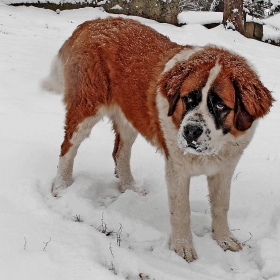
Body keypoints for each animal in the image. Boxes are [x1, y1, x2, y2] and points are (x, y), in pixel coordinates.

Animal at [42, 17, 274, 262]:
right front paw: (182, 248)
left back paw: (130, 187)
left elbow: (221, 205)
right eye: (188, 99)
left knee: (119, 152)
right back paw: (61, 186)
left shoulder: (225, 168)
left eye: (220, 105)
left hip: (129, 116)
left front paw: (224, 239)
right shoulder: (177, 169)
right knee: (68, 147)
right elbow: (181, 210)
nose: (191, 131)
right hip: (86, 108)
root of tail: (92, 22)